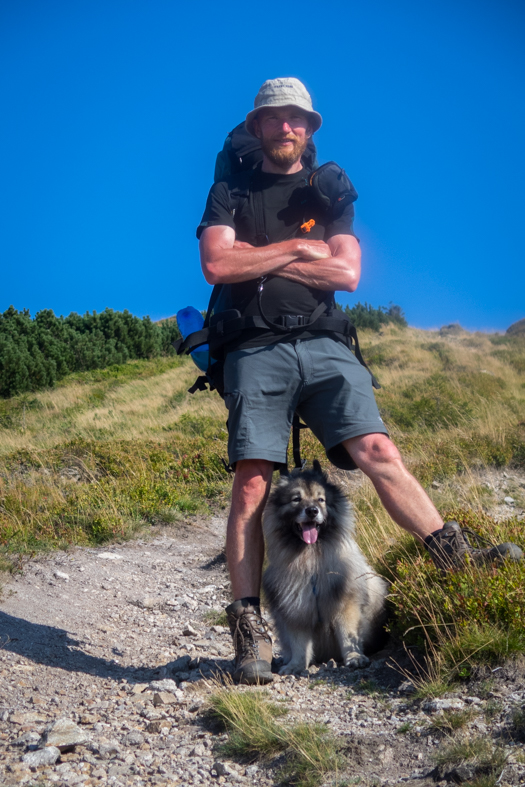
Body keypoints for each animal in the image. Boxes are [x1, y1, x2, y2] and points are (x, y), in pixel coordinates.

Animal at [262, 462, 388, 676]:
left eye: (321, 499)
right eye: (296, 499)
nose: (312, 510)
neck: (311, 560)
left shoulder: (345, 603)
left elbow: (348, 635)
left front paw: (354, 658)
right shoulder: (295, 609)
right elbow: (298, 643)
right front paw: (295, 665)